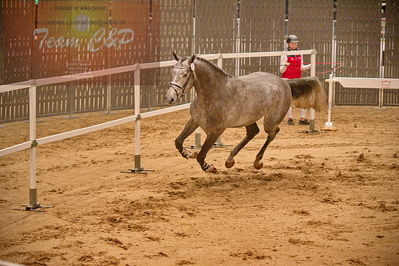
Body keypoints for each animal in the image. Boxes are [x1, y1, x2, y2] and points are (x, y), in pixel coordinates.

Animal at [166, 53, 324, 174]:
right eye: (172, 73)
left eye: (185, 74)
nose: (169, 98)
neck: (214, 93)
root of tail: (285, 82)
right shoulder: (195, 120)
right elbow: (178, 142)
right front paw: (188, 153)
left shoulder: (216, 131)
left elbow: (201, 155)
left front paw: (209, 167)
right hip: (249, 119)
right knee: (253, 132)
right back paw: (230, 160)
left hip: (270, 120)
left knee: (273, 133)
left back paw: (257, 161)